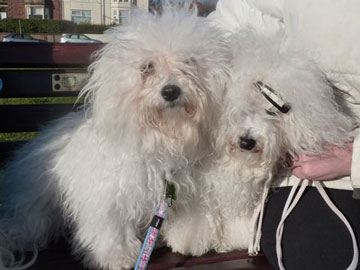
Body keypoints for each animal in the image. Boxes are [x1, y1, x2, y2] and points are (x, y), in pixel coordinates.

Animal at [0, 4, 229, 270]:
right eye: (147, 67)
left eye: (189, 62)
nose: (171, 91)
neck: (160, 142)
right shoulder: (109, 195)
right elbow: (112, 226)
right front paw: (116, 256)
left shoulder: (181, 191)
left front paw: (188, 239)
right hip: (36, 206)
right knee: (23, 224)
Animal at [169, 30, 354, 255]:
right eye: (239, 107)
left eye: (272, 112)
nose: (247, 141)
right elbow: (198, 210)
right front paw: (186, 239)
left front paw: (237, 237)